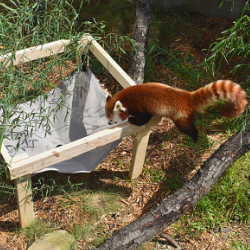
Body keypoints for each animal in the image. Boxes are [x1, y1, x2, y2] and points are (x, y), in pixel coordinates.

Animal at [104, 80, 247, 143]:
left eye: (111, 119)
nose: (109, 124)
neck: (125, 99)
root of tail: (188, 96)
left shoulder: (138, 105)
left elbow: (144, 118)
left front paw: (133, 120)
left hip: (180, 116)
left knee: (188, 128)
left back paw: (195, 137)